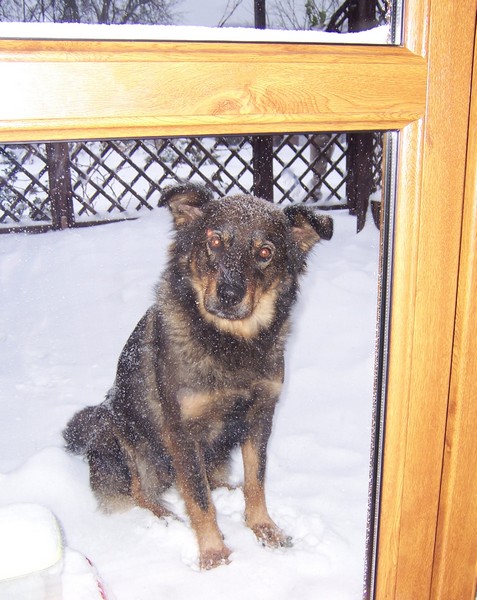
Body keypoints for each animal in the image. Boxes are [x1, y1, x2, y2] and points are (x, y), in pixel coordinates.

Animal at [62, 183, 330, 568]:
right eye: (214, 241)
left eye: (265, 252)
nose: (229, 294)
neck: (229, 343)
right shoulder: (183, 432)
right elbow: (199, 500)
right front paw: (214, 555)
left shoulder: (260, 416)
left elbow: (256, 481)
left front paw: (263, 527)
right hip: (121, 434)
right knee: (140, 491)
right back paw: (168, 517)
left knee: (213, 480)